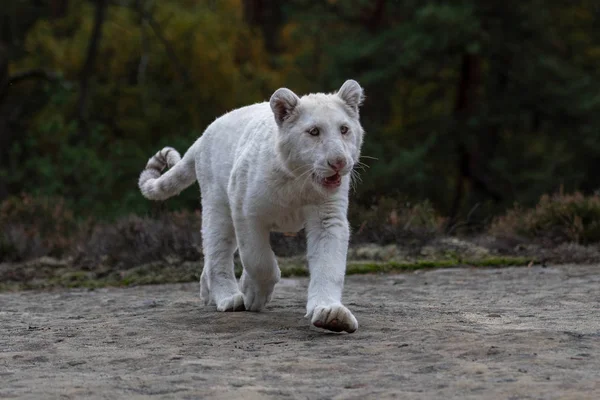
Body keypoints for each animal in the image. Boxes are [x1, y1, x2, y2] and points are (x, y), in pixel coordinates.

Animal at [139, 79, 366, 332]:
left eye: (344, 129)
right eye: (314, 131)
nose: (339, 162)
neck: (298, 181)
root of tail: (203, 136)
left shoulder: (328, 217)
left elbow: (328, 265)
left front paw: (330, 313)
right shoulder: (246, 211)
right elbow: (258, 259)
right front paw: (253, 294)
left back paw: (208, 293)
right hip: (218, 209)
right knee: (217, 255)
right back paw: (229, 298)